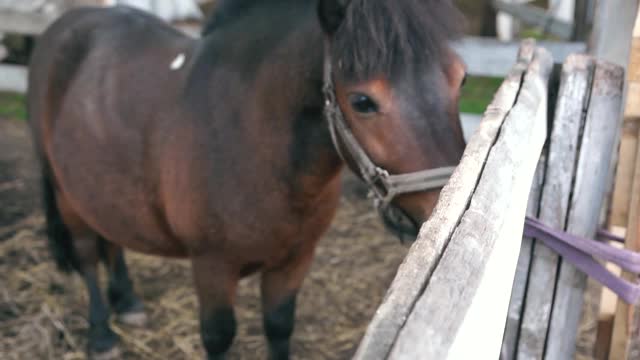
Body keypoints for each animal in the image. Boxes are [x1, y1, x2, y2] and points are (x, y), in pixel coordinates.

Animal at [27, 1, 468, 358]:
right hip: (66, 195)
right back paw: (102, 334)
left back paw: (128, 302)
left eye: (461, 79)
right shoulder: (212, 267)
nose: (447, 212)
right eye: (362, 101)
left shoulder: (295, 260)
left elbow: (279, 327)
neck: (251, 140)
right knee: (87, 254)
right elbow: (219, 337)